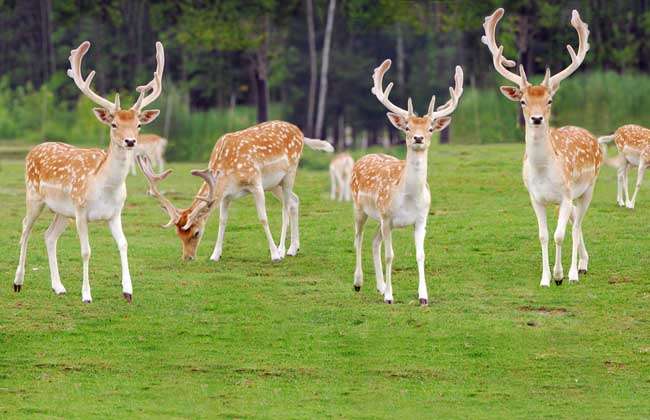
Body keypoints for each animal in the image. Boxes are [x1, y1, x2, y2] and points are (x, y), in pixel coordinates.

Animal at [12, 40, 164, 303]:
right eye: (114, 124)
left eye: (138, 124)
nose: (130, 141)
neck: (104, 187)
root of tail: (33, 149)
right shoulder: (81, 211)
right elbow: (86, 251)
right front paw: (86, 294)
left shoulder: (115, 214)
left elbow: (124, 244)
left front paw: (128, 291)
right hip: (34, 197)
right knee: (25, 229)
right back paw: (18, 282)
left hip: (62, 211)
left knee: (48, 236)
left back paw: (58, 286)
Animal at [138, 120, 334, 261]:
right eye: (178, 235)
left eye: (196, 233)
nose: (187, 258)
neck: (227, 173)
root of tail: (300, 133)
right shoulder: (226, 195)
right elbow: (222, 221)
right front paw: (215, 255)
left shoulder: (256, 183)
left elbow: (263, 218)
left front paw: (274, 255)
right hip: (274, 184)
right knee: (294, 200)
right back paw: (294, 247)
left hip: (289, 173)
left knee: (286, 206)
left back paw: (283, 250)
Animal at [351, 59, 463, 306]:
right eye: (407, 127)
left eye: (430, 128)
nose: (418, 138)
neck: (409, 198)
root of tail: (363, 157)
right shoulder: (387, 217)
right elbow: (390, 255)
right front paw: (390, 297)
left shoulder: (421, 219)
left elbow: (420, 255)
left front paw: (423, 296)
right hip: (360, 208)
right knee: (358, 238)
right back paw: (358, 283)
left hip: (379, 219)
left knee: (373, 241)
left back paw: (380, 286)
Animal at [482, 8, 603, 287]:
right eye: (523, 101)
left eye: (549, 100)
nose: (537, 119)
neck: (544, 171)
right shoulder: (535, 198)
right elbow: (544, 236)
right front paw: (546, 279)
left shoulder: (566, 195)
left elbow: (560, 235)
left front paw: (561, 276)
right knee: (574, 222)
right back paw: (583, 263)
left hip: (589, 187)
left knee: (576, 225)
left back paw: (576, 271)